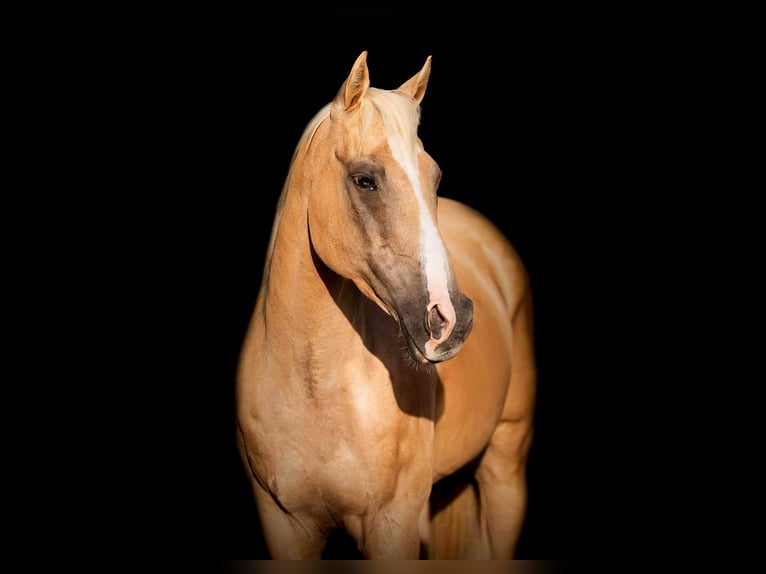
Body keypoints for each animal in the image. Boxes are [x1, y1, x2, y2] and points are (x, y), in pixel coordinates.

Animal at [236, 51, 536, 560]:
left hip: (504, 471)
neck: (314, 392)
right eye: (365, 180)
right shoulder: (285, 528)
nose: (451, 319)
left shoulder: (391, 527)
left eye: (435, 176)